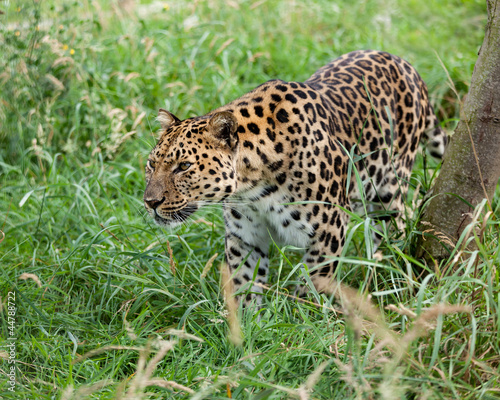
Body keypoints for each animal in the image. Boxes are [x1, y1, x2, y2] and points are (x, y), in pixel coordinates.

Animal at [144, 50, 446, 306]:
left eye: (183, 166)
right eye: (151, 164)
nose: (150, 202)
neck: (252, 187)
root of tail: (406, 65)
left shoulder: (330, 229)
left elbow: (313, 282)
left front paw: (307, 316)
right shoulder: (245, 236)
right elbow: (245, 283)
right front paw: (246, 326)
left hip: (390, 190)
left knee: (394, 228)